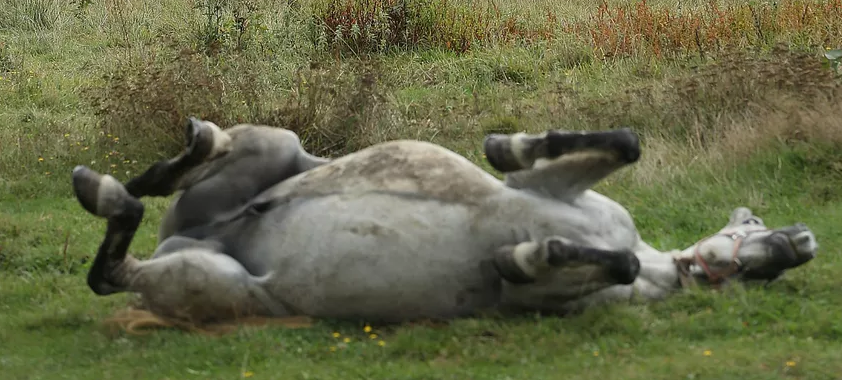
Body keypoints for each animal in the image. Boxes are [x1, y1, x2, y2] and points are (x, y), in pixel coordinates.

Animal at [69, 117, 816, 328]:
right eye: (758, 223)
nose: (803, 242)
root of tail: (201, 234)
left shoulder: (566, 296)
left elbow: (598, 263)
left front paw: (522, 256)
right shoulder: (554, 187)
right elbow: (621, 144)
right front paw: (506, 146)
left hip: (207, 281)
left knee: (114, 268)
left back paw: (107, 194)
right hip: (274, 145)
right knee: (203, 155)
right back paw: (135, 172)